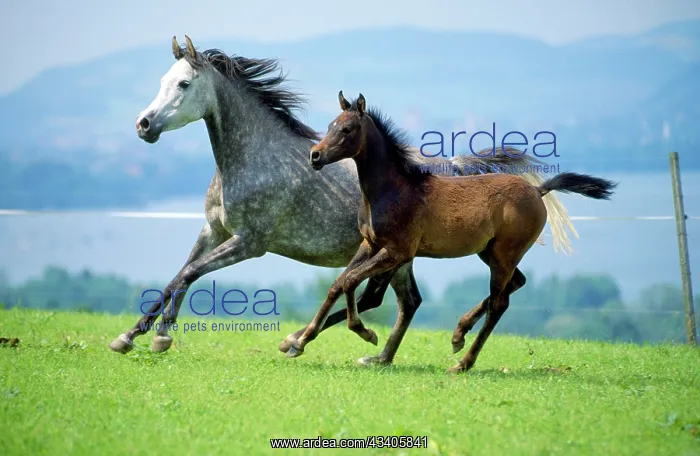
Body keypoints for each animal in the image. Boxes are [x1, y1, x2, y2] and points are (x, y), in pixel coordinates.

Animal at [109, 36, 578, 366]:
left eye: (184, 84)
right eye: (162, 82)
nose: (143, 125)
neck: (253, 159)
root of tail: (458, 168)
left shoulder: (249, 243)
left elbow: (187, 275)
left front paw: (160, 336)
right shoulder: (214, 230)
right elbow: (177, 276)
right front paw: (133, 335)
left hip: (409, 254)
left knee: (402, 299)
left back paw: (329, 342)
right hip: (406, 256)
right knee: (407, 301)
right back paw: (376, 354)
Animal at [286, 91, 616, 373]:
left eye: (347, 129)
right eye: (331, 125)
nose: (315, 156)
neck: (393, 190)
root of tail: (538, 190)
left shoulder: (397, 252)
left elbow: (350, 280)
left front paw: (364, 333)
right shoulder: (369, 244)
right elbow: (338, 284)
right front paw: (299, 342)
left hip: (503, 254)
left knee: (499, 303)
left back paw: (462, 363)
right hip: (490, 252)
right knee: (514, 285)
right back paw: (458, 334)